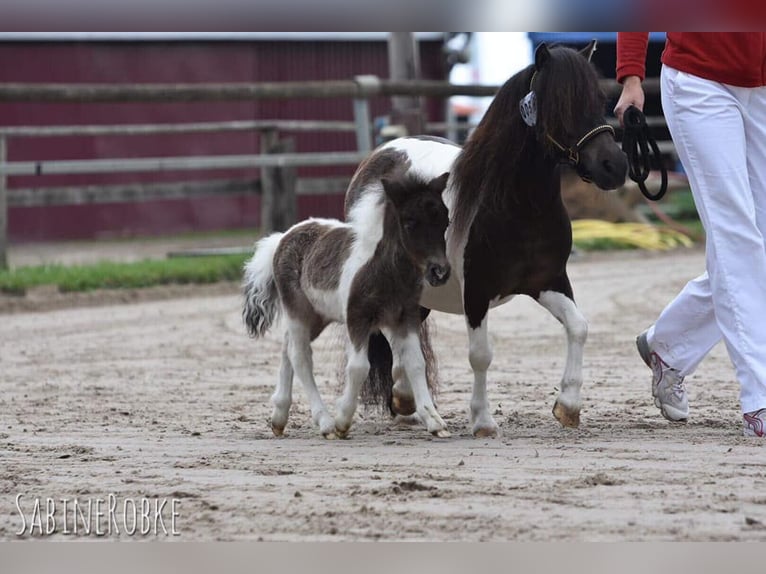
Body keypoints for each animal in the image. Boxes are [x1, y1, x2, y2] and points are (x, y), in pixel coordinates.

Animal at [242, 170, 452, 438]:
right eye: (409, 222)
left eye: (445, 221)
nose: (440, 272)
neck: (385, 269)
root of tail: (282, 238)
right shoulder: (357, 318)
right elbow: (358, 367)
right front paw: (342, 420)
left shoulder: (405, 318)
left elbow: (416, 363)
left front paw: (434, 421)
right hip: (298, 311)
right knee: (300, 357)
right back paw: (325, 423)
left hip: (317, 316)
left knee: (287, 347)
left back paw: (279, 417)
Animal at [344, 41, 629, 437]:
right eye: (560, 104)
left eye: (600, 99)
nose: (614, 166)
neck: (519, 207)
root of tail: (382, 153)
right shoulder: (476, 291)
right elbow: (480, 355)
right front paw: (482, 420)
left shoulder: (549, 281)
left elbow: (578, 327)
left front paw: (568, 406)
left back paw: (405, 399)